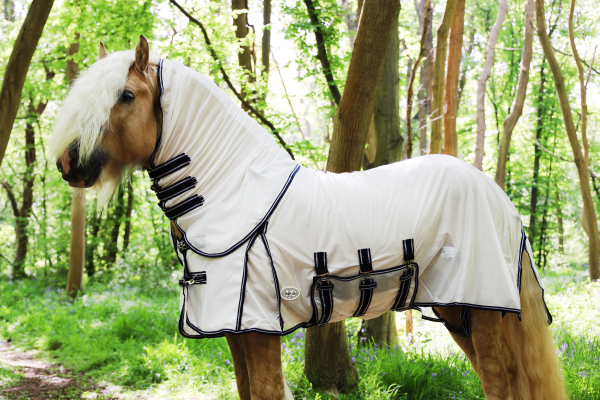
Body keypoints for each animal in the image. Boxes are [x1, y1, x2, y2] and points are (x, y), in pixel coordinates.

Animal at [50, 35, 566, 400]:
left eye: (126, 95)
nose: (67, 165)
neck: (233, 189)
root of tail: (499, 198)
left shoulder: (257, 327)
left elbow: (264, 391)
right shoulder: (234, 330)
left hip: (482, 307)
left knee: (499, 382)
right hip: (457, 311)